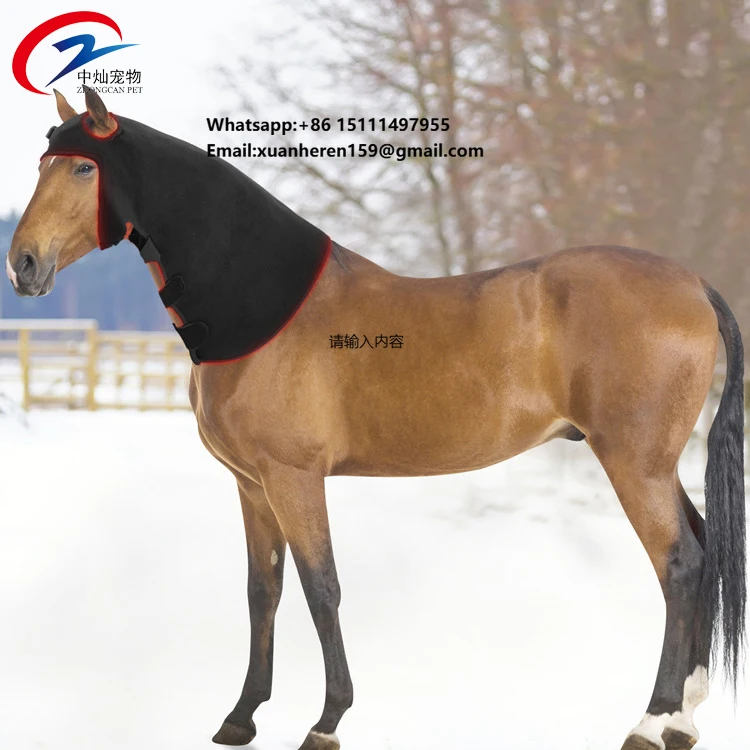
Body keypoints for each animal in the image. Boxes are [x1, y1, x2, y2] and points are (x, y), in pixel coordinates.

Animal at [7, 86, 745, 750]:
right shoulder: (251, 484)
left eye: (82, 169)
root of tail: (694, 284)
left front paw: (326, 722)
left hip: (632, 462)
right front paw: (241, 719)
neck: (264, 308)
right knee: (700, 549)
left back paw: (651, 722)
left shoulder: (294, 478)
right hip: (652, 463)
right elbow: (262, 591)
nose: (24, 264)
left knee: (679, 564)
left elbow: (321, 587)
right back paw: (683, 717)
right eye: (41, 164)